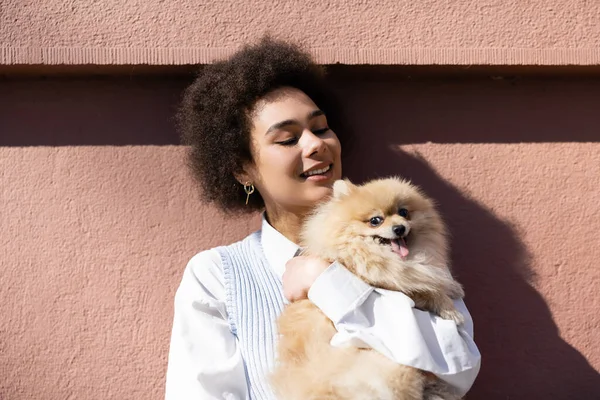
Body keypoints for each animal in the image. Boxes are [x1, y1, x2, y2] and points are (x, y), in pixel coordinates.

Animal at [270, 178, 464, 400]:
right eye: (375, 220)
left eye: (404, 212)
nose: (399, 228)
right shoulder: (387, 282)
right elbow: (423, 288)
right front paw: (450, 309)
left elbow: (430, 278)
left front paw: (453, 287)